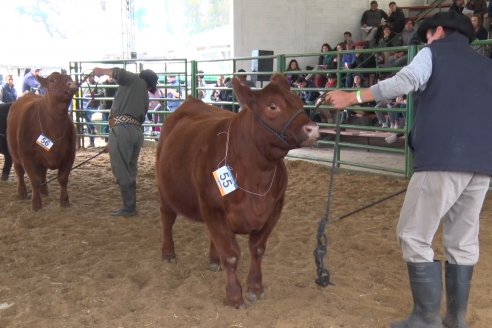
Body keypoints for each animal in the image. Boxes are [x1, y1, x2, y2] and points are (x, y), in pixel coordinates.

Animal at [6, 72, 78, 210]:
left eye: (70, 78)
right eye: (52, 80)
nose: (72, 84)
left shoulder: (70, 155)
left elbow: (63, 178)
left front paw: (64, 201)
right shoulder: (26, 156)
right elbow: (34, 179)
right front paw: (36, 204)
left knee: (42, 172)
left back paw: (44, 191)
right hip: (14, 153)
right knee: (19, 170)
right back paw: (22, 192)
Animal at [156, 73, 320, 308]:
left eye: (299, 102)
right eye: (272, 106)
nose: (313, 129)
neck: (256, 174)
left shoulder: (274, 208)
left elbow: (257, 249)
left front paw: (255, 288)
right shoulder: (212, 208)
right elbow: (231, 255)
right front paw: (234, 296)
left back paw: (213, 259)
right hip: (165, 189)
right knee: (167, 218)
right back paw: (168, 253)